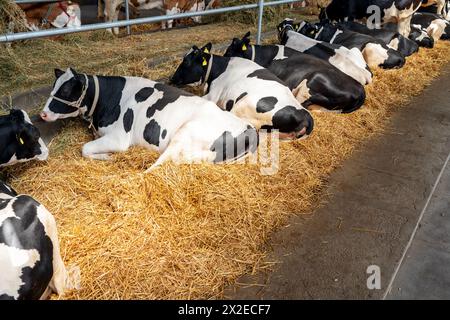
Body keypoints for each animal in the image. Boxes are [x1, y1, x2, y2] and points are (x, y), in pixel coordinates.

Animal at [41, 67, 258, 168]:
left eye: (66, 90)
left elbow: (85, 149)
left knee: (164, 161)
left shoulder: (119, 138)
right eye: (54, 86)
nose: (42, 113)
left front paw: (107, 156)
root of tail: (248, 129)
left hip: (186, 132)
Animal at [169, 42, 312, 138]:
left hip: (242, 106)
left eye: (186, 62)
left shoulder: (213, 95)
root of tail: (305, 115)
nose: (172, 78)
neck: (219, 68)